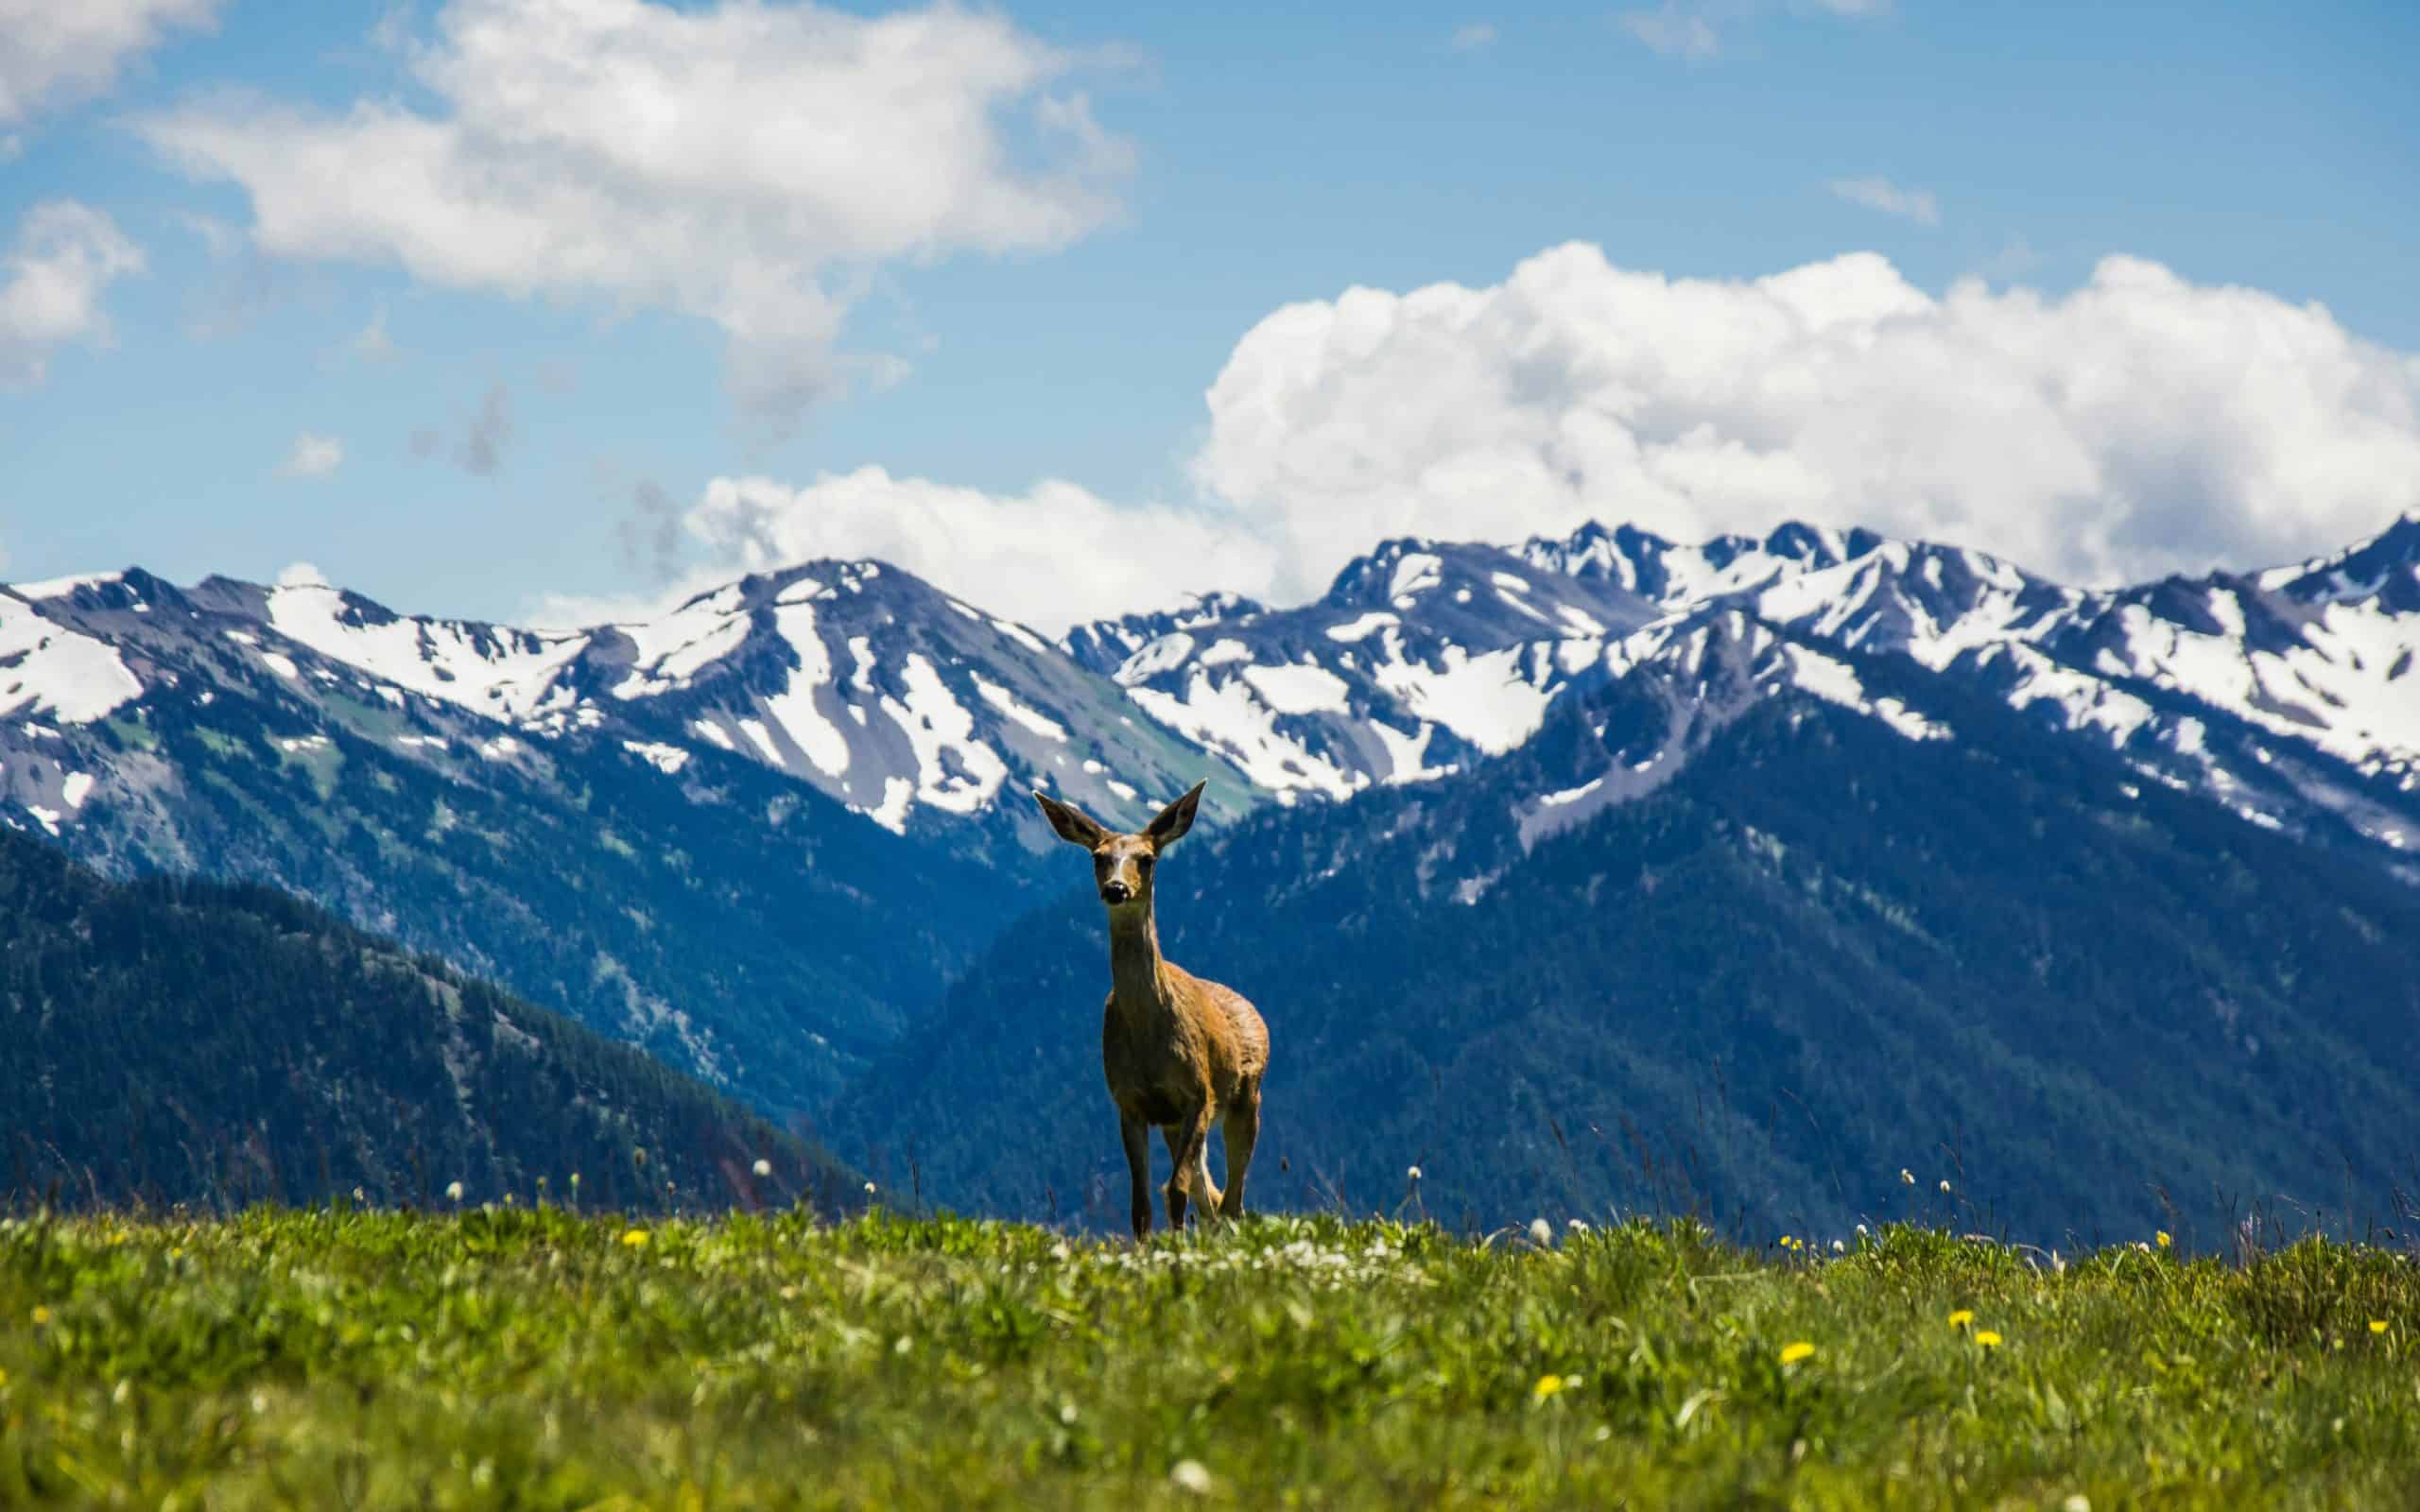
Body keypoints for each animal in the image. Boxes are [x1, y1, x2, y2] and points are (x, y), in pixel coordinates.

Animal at [1032, 780, 1269, 1240]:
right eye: (1099, 857)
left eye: (1147, 858)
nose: (1116, 889)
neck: (1149, 1040)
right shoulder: (1130, 1103)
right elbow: (1142, 1202)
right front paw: (1151, 1246)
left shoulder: (1198, 1094)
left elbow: (1174, 1189)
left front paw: (1174, 1246)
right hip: (1179, 1124)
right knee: (1211, 1196)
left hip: (1246, 1099)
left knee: (1232, 1199)